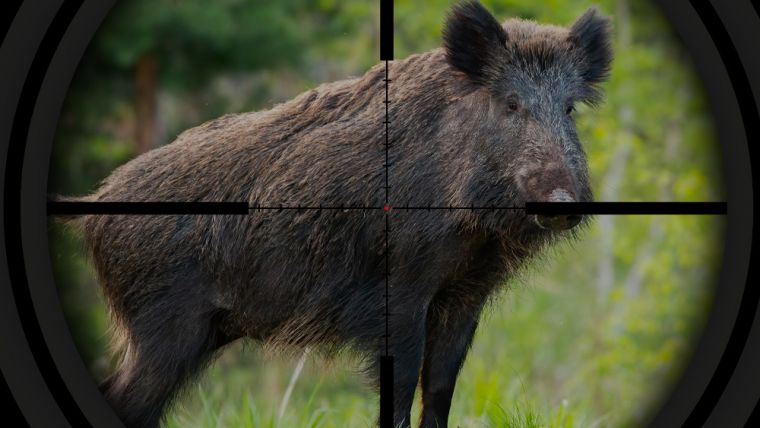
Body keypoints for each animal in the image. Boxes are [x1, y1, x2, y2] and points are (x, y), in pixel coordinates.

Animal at [65, 1, 611, 427]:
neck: (474, 233)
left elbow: (439, 388)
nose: (561, 202)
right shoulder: (400, 291)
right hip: (164, 327)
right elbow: (400, 387)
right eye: (511, 104)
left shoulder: (464, 295)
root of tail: (93, 207)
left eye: (569, 109)